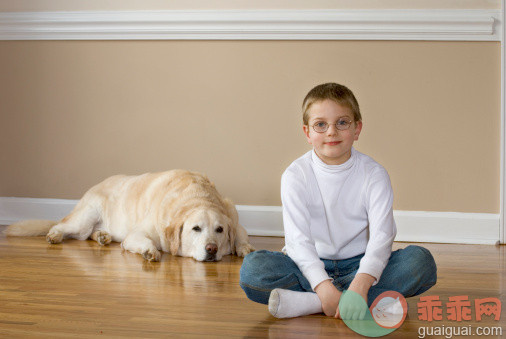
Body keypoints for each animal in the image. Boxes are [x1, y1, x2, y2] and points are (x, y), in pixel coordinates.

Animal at [5, 170, 255, 262]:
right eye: (196, 228)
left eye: (219, 230)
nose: (211, 249)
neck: (196, 195)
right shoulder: (135, 235)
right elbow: (144, 242)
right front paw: (150, 251)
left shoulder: (234, 219)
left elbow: (241, 235)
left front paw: (244, 248)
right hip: (84, 217)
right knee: (63, 227)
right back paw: (55, 235)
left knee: (90, 234)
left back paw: (102, 237)